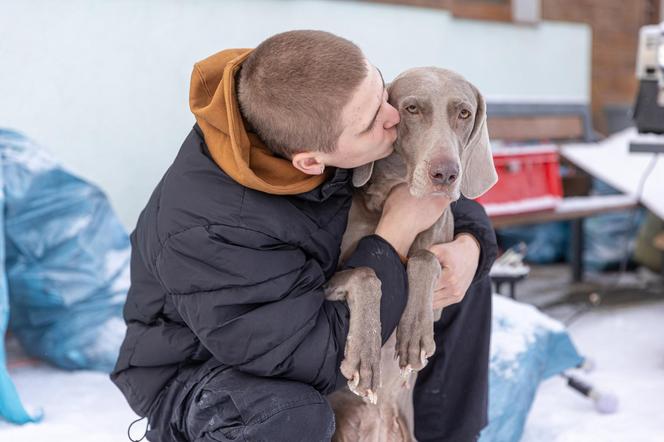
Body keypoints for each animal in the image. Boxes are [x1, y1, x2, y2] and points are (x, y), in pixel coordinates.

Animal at [322, 67, 498, 440]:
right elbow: (366, 273)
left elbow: (424, 259)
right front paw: (365, 356)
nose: (445, 174)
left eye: (464, 113)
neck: (392, 195)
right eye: (412, 109)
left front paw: (414, 334)